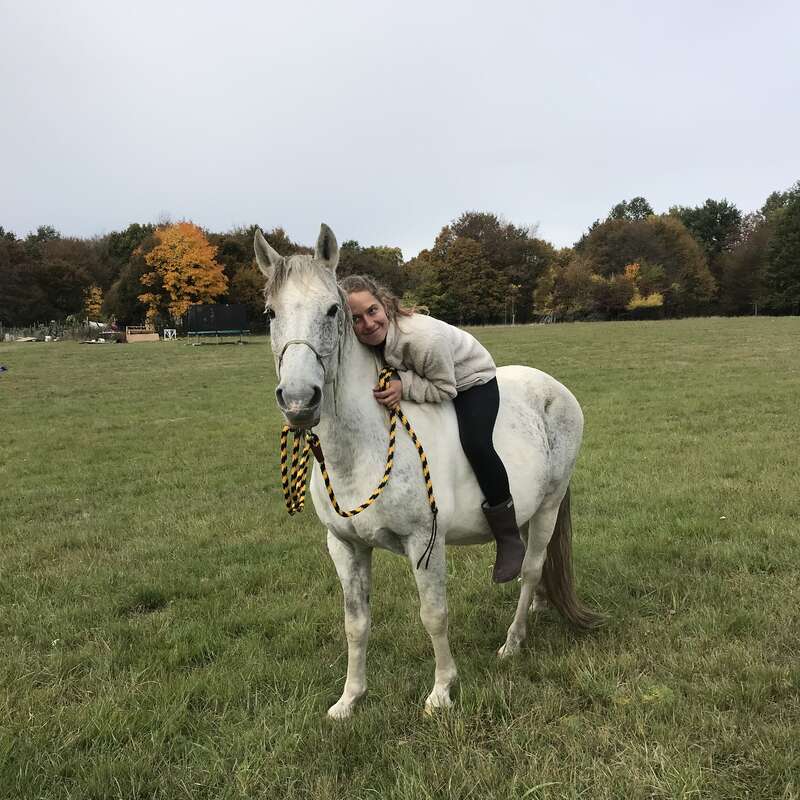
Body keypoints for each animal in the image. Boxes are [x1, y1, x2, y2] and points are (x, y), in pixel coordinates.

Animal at [255, 224, 602, 719]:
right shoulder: (345, 547)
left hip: (550, 505)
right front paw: (349, 699)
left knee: (533, 568)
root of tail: (556, 389)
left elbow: (434, 615)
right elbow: (355, 623)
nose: (300, 401)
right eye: (270, 312)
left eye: (333, 309)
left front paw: (441, 692)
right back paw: (536, 608)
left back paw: (513, 642)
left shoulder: (425, 542)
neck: (362, 448)